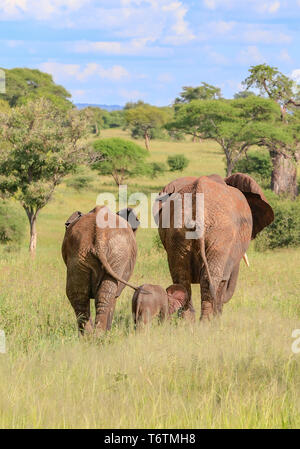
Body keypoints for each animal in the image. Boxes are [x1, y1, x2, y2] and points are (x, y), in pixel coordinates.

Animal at [155, 173, 274, 320]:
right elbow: (223, 279)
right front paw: (217, 319)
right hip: (220, 233)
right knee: (210, 278)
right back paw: (206, 322)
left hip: (177, 230)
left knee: (181, 278)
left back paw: (188, 322)